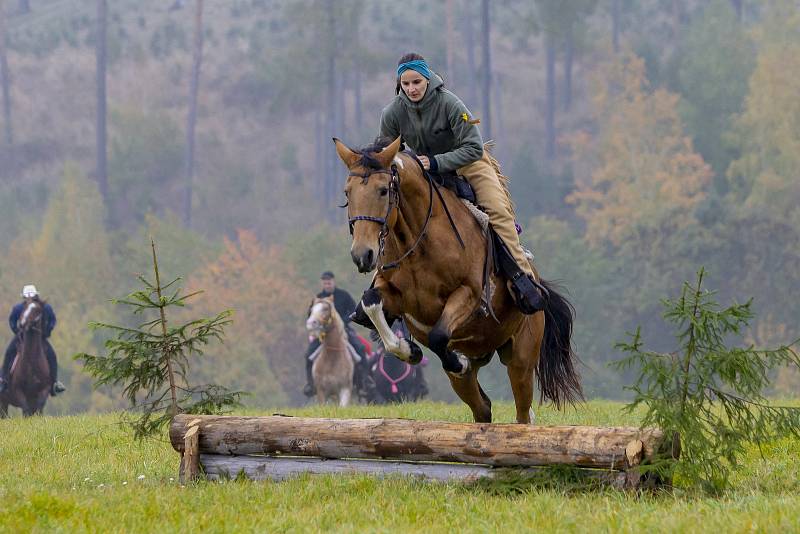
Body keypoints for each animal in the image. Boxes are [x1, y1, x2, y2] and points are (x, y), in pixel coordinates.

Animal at [334, 136, 584, 426]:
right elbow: (372, 302)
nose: (362, 255)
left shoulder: (470, 294)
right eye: (347, 193)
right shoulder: (394, 295)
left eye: (384, 190)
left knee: (522, 410)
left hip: (521, 356)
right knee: (482, 408)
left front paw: (455, 360)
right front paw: (410, 350)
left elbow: (439, 336)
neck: (416, 239)